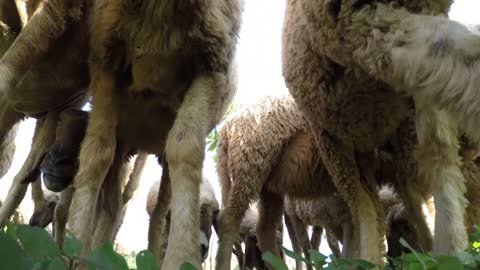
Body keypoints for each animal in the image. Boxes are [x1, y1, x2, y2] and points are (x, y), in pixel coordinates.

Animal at [59, 0, 242, 268]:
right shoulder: (106, 56)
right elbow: (96, 152)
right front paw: (73, 248)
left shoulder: (213, 62)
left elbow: (185, 147)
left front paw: (182, 258)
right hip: (124, 140)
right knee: (114, 201)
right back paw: (99, 251)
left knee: (158, 213)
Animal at [282, 0, 480, 260]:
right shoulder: (360, 20)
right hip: (335, 141)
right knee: (365, 206)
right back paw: (371, 257)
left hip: (392, 138)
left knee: (418, 183)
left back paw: (440, 247)